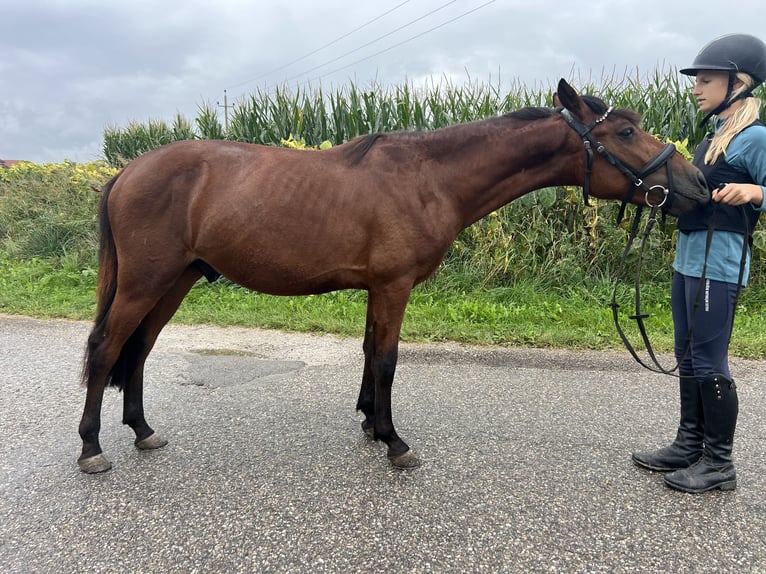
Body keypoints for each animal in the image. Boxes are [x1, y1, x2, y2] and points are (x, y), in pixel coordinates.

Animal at [77, 79, 708, 473]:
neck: (429, 178)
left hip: (176, 281)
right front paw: (393, 440)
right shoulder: (393, 286)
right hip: (146, 281)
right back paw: (91, 448)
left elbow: (367, 351)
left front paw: (367, 422)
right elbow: (386, 359)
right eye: (624, 133)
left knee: (139, 349)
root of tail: (128, 171)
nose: (698, 184)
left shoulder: (376, 288)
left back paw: (142, 430)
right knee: (109, 346)